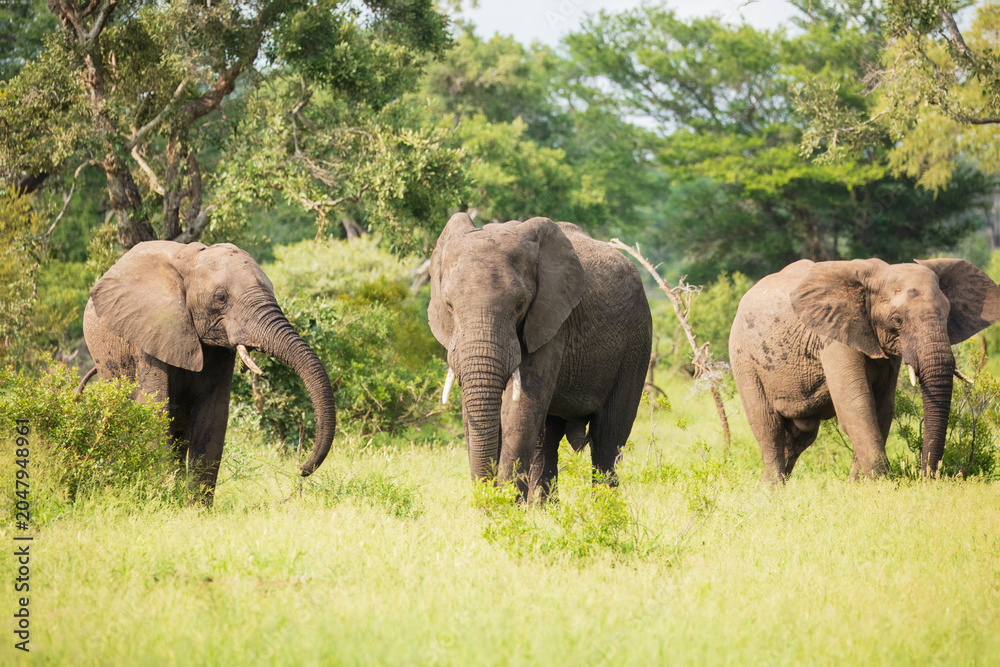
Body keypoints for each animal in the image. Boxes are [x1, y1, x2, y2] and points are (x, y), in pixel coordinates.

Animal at [82, 240, 336, 502]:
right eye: (221, 297)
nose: (301, 469)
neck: (189, 260)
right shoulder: (150, 331)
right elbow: (155, 409)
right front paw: (161, 499)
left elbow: (212, 416)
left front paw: (195, 507)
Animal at [428, 213, 652, 501]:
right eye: (449, 305)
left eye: (520, 305)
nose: (486, 496)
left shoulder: (552, 321)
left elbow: (519, 409)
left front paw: (503, 506)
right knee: (546, 441)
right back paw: (545, 508)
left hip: (637, 342)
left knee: (607, 439)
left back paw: (604, 506)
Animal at [729, 257, 1000, 484]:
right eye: (897, 320)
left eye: (947, 315)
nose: (927, 477)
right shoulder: (834, 338)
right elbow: (857, 408)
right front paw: (883, 483)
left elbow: (883, 410)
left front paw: (860, 485)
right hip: (743, 359)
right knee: (768, 426)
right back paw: (772, 489)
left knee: (801, 435)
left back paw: (769, 486)